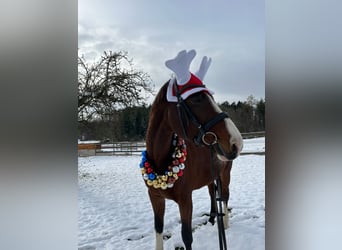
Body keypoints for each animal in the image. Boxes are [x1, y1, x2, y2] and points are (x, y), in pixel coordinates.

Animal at [144, 78, 243, 250]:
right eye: (197, 99)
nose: (236, 141)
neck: (162, 164)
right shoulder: (155, 198)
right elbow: (158, 229)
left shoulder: (185, 200)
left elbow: (186, 236)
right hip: (211, 176)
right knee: (212, 194)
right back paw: (212, 219)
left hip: (225, 174)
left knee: (224, 196)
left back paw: (225, 224)